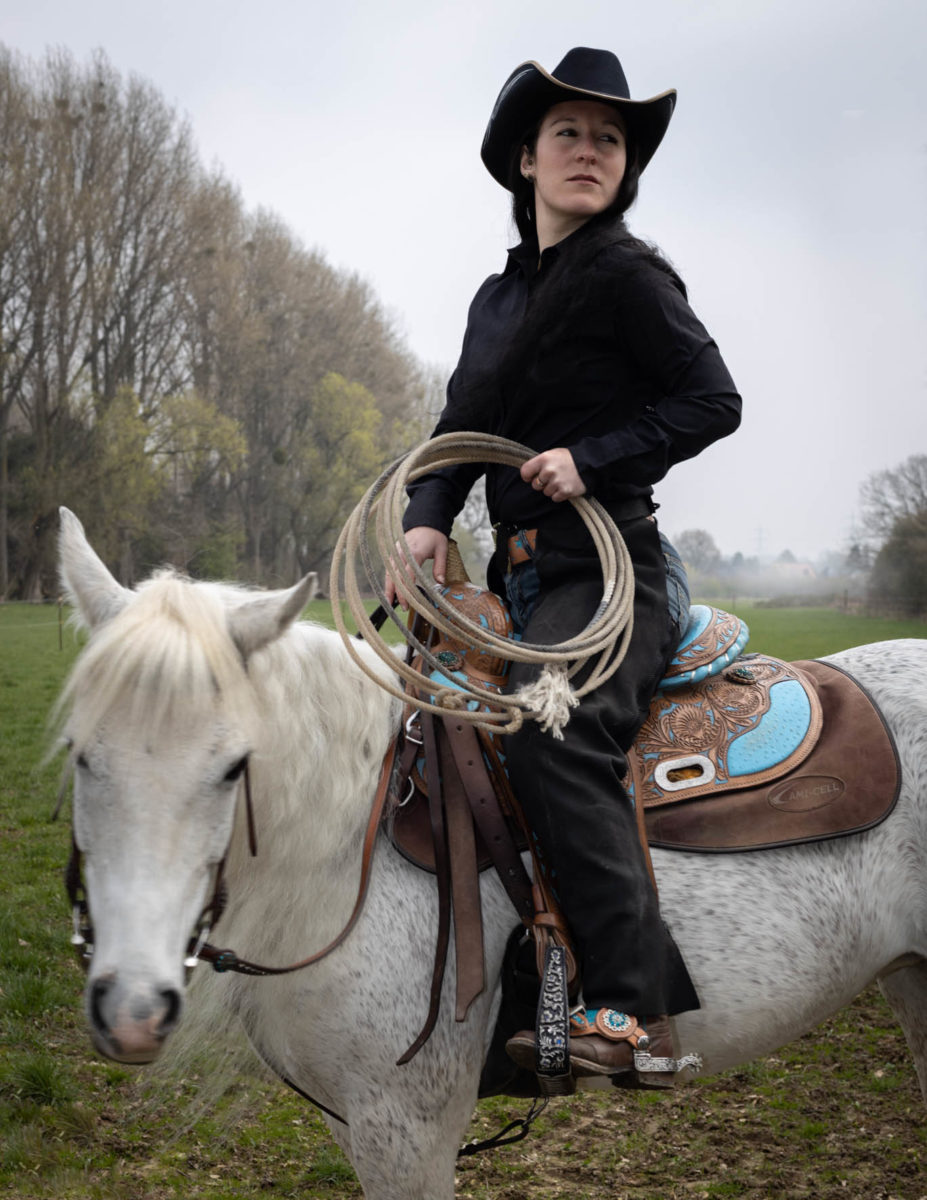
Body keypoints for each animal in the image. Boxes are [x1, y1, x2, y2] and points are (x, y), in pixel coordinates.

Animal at [54, 508, 922, 1200]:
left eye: (235, 766)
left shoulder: (406, 1127)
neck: (346, 843)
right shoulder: (356, 1124)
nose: (133, 1011)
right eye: (79, 755)